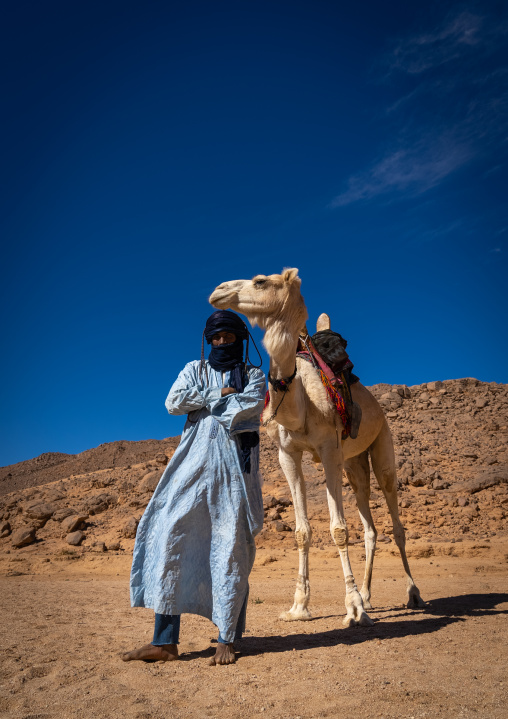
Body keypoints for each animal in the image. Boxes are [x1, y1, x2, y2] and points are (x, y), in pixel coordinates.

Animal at [209, 268, 425, 627]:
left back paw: (413, 594)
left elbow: (338, 529)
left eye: (260, 281)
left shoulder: (328, 450)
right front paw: (299, 606)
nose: (218, 291)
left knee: (395, 518)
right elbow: (301, 531)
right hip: (353, 463)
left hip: (381, 444)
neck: (301, 402)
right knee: (369, 524)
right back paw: (369, 594)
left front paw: (353, 608)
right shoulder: (288, 455)